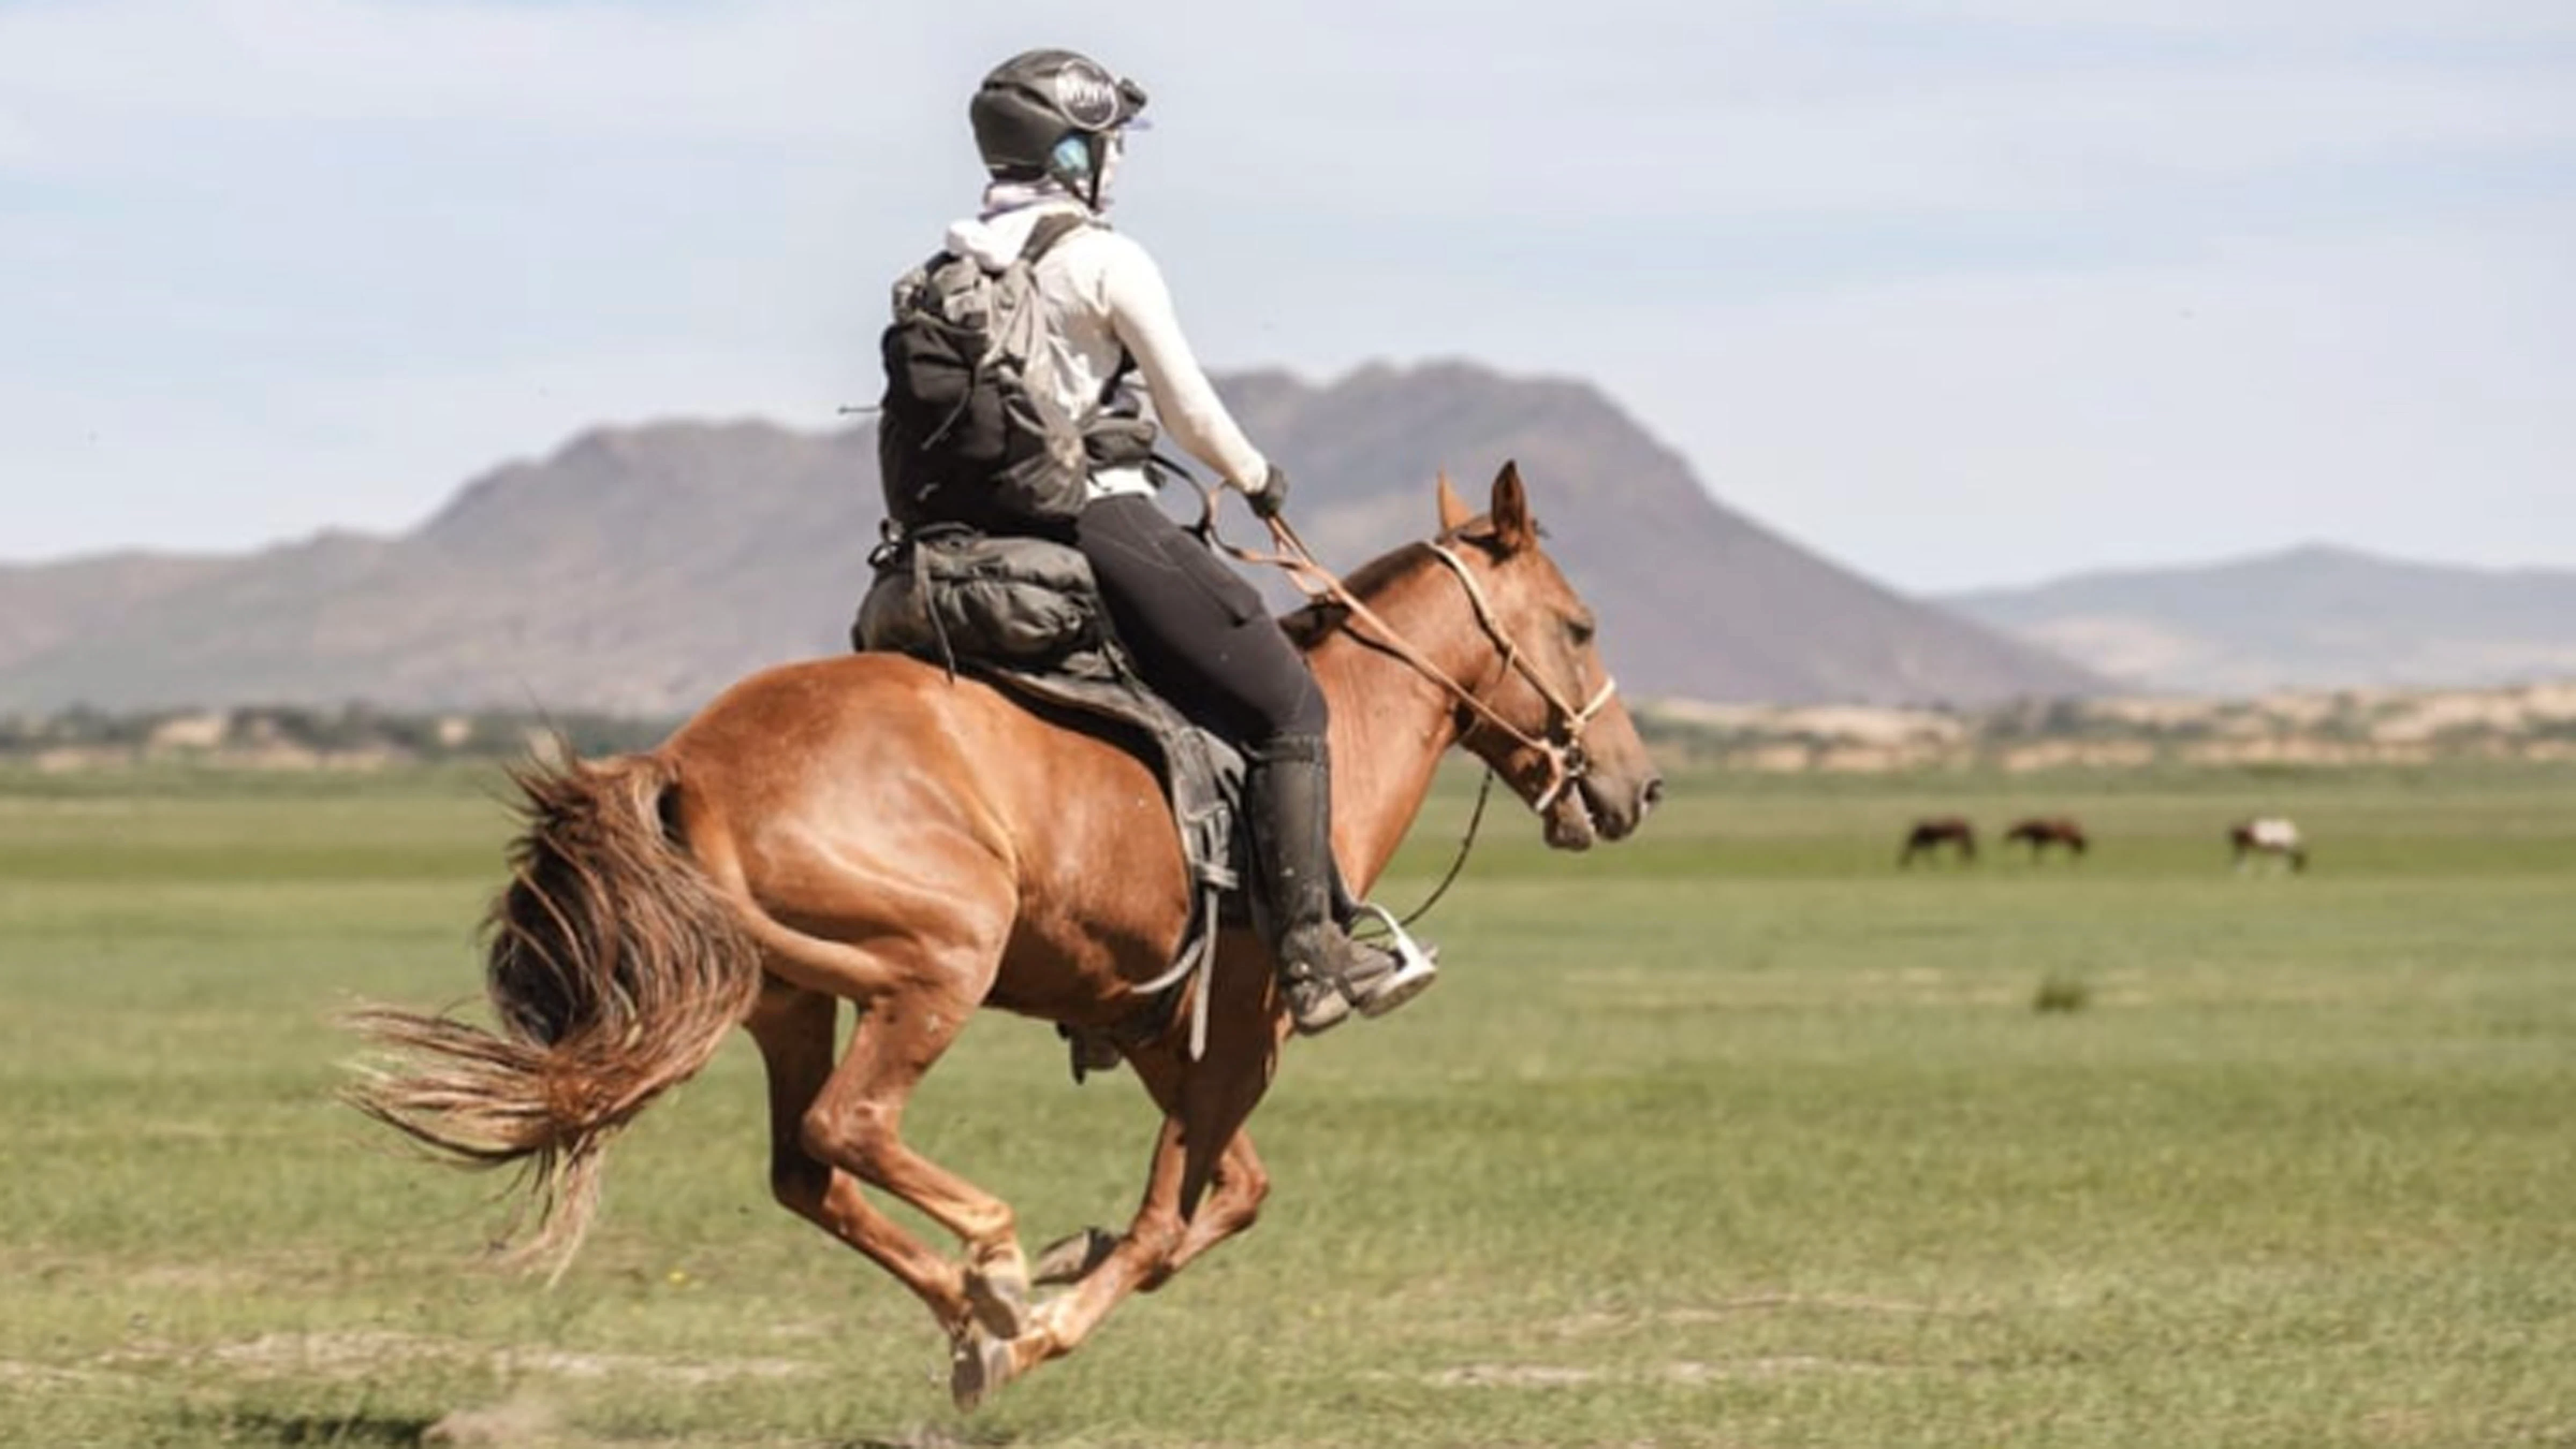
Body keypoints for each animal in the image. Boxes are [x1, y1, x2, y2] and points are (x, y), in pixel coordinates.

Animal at [342, 462, 1663, 1410]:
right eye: (1581, 625)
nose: (1636, 787)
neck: (1337, 728)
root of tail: (684, 760)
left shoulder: (1162, 1034)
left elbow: (1226, 1194)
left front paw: (1068, 1272)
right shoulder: (1245, 1033)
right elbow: (1175, 1217)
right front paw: (1058, 1306)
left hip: (792, 1001)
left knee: (806, 1169)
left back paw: (976, 1313)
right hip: (934, 971)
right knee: (850, 1129)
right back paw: (999, 1274)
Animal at [1899, 815, 1977, 867]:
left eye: (1902, 859)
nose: (1901, 866)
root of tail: (1966, 824)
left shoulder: (1929, 842)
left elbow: (1929, 854)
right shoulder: (1930, 843)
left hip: (1960, 838)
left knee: (1964, 849)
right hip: (1963, 838)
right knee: (1968, 848)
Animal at [2003, 816, 2088, 861]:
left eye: (2011, 832)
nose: (2005, 838)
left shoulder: (2039, 840)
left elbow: (2037, 852)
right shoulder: (2039, 841)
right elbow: (2037, 852)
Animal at [2230, 817, 2307, 872]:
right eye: (2301, 861)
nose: (2300, 871)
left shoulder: (2277, 849)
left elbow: (2278, 859)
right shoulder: (2278, 848)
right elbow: (2279, 860)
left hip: (2243, 846)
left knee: (2241, 857)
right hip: (2241, 846)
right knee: (2240, 858)